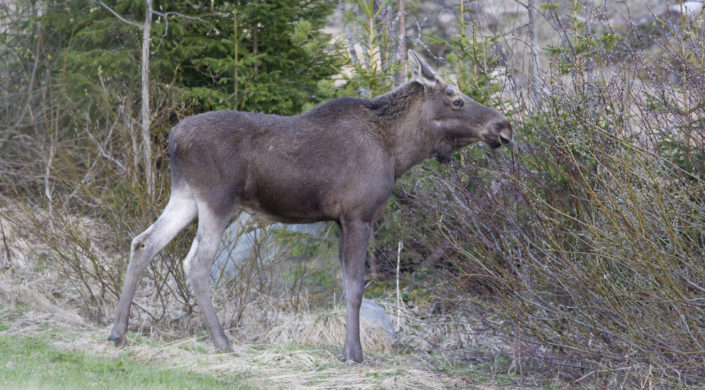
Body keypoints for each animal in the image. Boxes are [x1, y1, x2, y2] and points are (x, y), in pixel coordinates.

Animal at [107, 50, 508, 364]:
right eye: (456, 100)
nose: (503, 126)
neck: (398, 153)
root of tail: (173, 139)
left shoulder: (339, 220)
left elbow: (345, 285)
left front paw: (347, 350)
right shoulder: (359, 215)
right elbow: (355, 286)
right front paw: (355, 355)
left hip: (186, 196)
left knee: (144, 242)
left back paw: (118, 332)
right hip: (218, 200)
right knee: (196, 262)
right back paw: (222, 341)